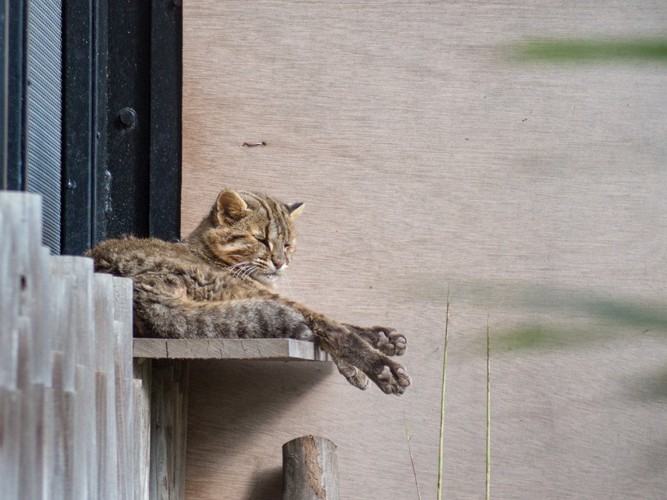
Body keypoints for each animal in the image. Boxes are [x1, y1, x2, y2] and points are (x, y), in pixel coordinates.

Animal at [87, 188, 412, 394]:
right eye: (261, 240)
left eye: (288, 244)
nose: (280, 262)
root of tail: (139, 291)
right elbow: (331, 324)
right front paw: (365, 363)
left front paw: (380, 339)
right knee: (323, 325)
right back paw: (383, 368)